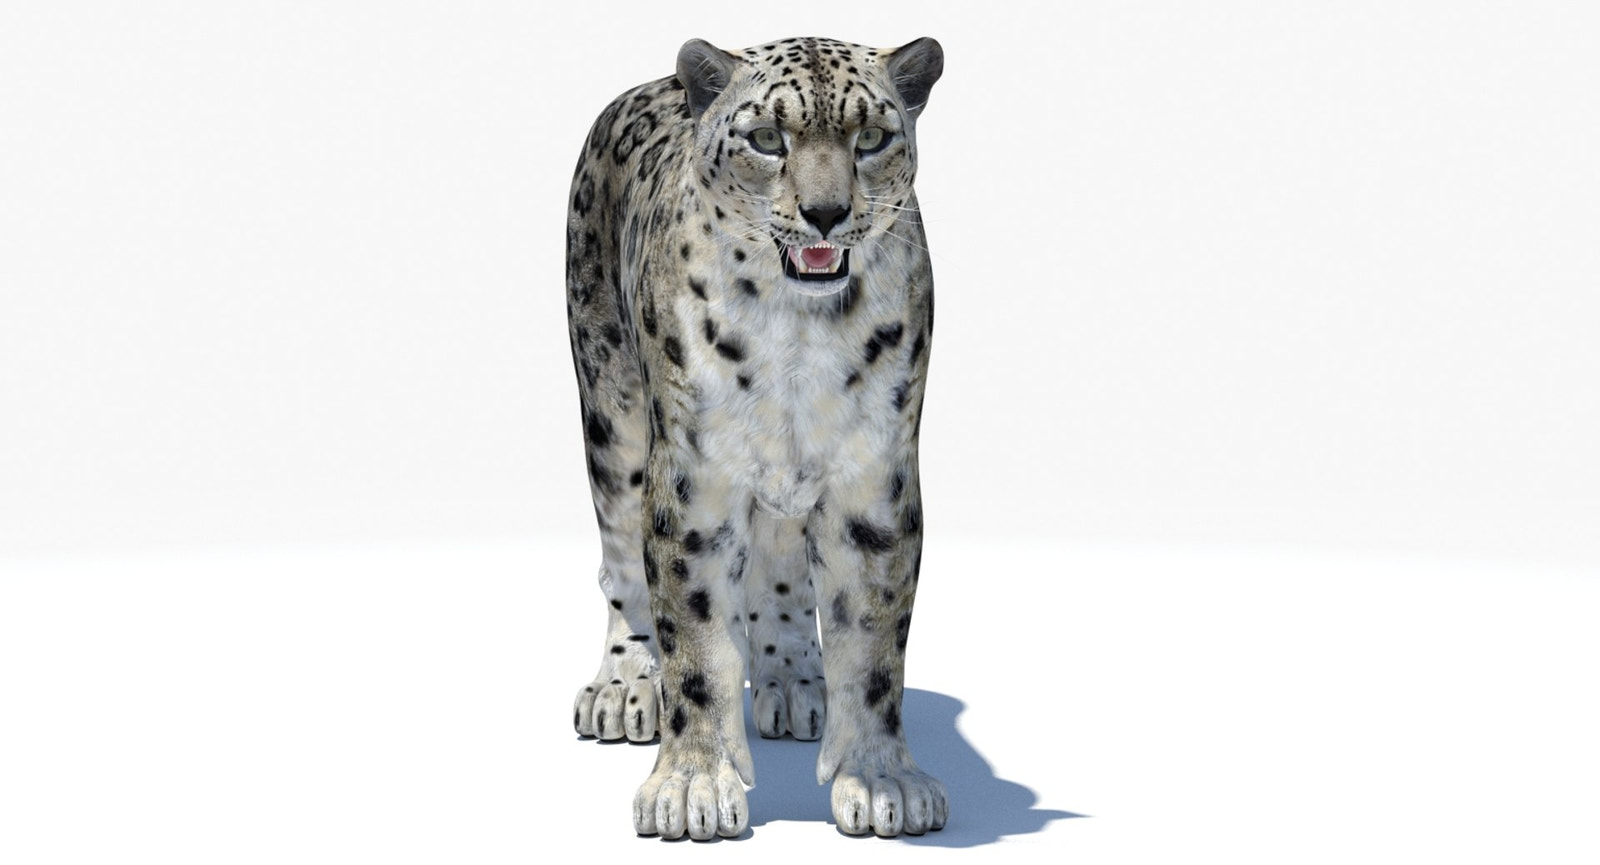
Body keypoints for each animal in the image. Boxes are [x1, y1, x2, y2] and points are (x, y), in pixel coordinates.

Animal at [564, 35, 945, 840]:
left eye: (872, 137)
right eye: (768, 139)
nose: (826, 213)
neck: (797, 337)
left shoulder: (875, 477)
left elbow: (874, 637)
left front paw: (882, 781)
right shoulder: (694, 478)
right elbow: (694, 635)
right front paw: (691, 788)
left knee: (781, 563)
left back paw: (796, 681)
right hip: (612, 417)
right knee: (620, 565)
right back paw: (623, 686)